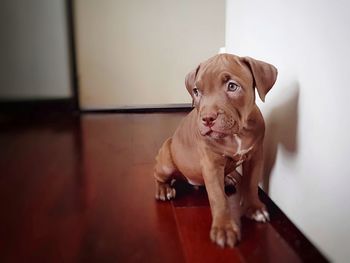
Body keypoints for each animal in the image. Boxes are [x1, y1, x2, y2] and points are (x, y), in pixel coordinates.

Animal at [153, 53, 276, 248]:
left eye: (232, 86)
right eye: (196, 91)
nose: (207, 118)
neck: (237, 134)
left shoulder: (255, 157)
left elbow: (251, 183)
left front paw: (254, 208)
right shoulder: (211, 164)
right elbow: (218, 198)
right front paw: (224, 228)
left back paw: (228, 179)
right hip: (166, 160)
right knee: (158, 176)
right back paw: (164, 189)